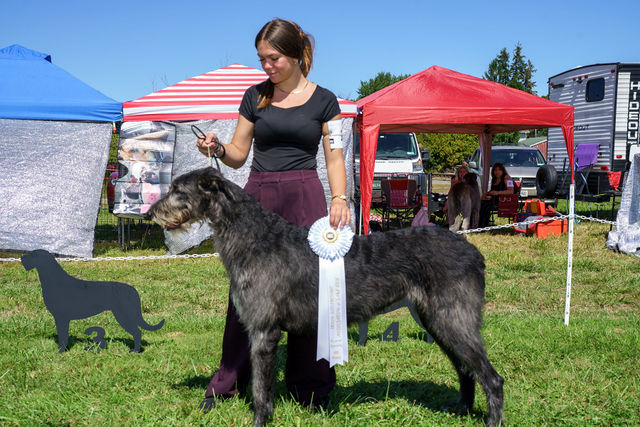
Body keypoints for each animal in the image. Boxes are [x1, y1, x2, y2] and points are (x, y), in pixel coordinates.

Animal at [21, 249, 165, 353]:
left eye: (33, 255)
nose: (21, 258)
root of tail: (133, 290)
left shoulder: (61, 317)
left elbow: (62, 337)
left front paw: (60, 352)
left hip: (124, 315)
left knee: (137, 332)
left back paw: (135, 351)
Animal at [149, 167, 504, 427]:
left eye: (178, 190)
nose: (151, 211)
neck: (254, 236)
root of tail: (474, 251)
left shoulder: (264, 330)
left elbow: (262, 387)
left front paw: (260, 420)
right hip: (440, 321)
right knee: (466, 370)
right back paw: (460, 409)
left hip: (452, 318)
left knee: (491, 377)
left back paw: (491, 419)